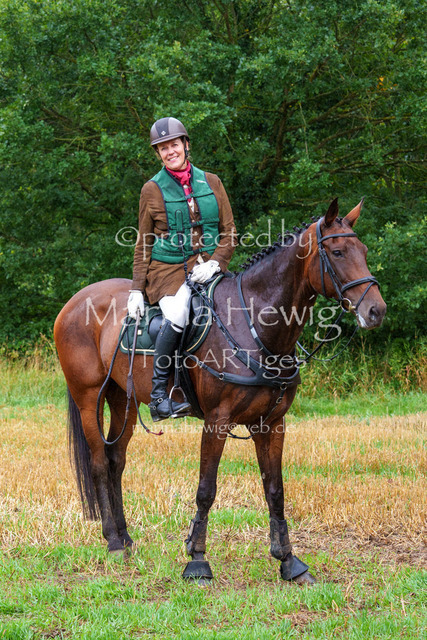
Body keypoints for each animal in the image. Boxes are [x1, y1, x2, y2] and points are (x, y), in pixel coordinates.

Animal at [54, 198, 386, 585]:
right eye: (337, 252)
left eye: (364, 252)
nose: (376, 310)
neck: (254, 323)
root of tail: (77, 300)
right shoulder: (216, 421)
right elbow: (206, 490)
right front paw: (197, 560)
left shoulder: (272, 423)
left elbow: (275, 490)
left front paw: (289, 562)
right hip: (88, 397)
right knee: (96, 462)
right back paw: (112, 541)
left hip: (124, 401)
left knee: (114, 460)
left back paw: (125, 537)